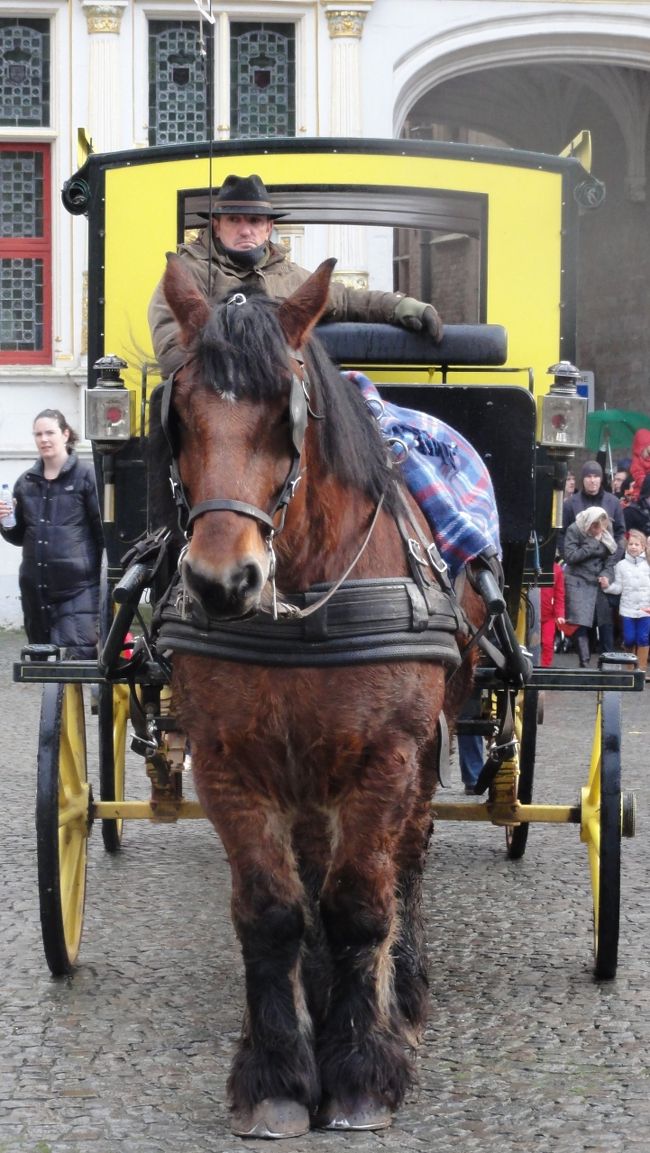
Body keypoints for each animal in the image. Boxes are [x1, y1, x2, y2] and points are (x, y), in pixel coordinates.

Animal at [150, 253, 484, 1138]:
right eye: (179, 415)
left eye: (285, 415)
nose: (222, 581)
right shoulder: (228, 760)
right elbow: (272, 911)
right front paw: (276, 1072)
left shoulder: (389, 756)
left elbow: (361, 903)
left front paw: (363, 1068)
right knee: (311, 869)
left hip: (425, 747)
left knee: (405, 863)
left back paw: (400, 990)